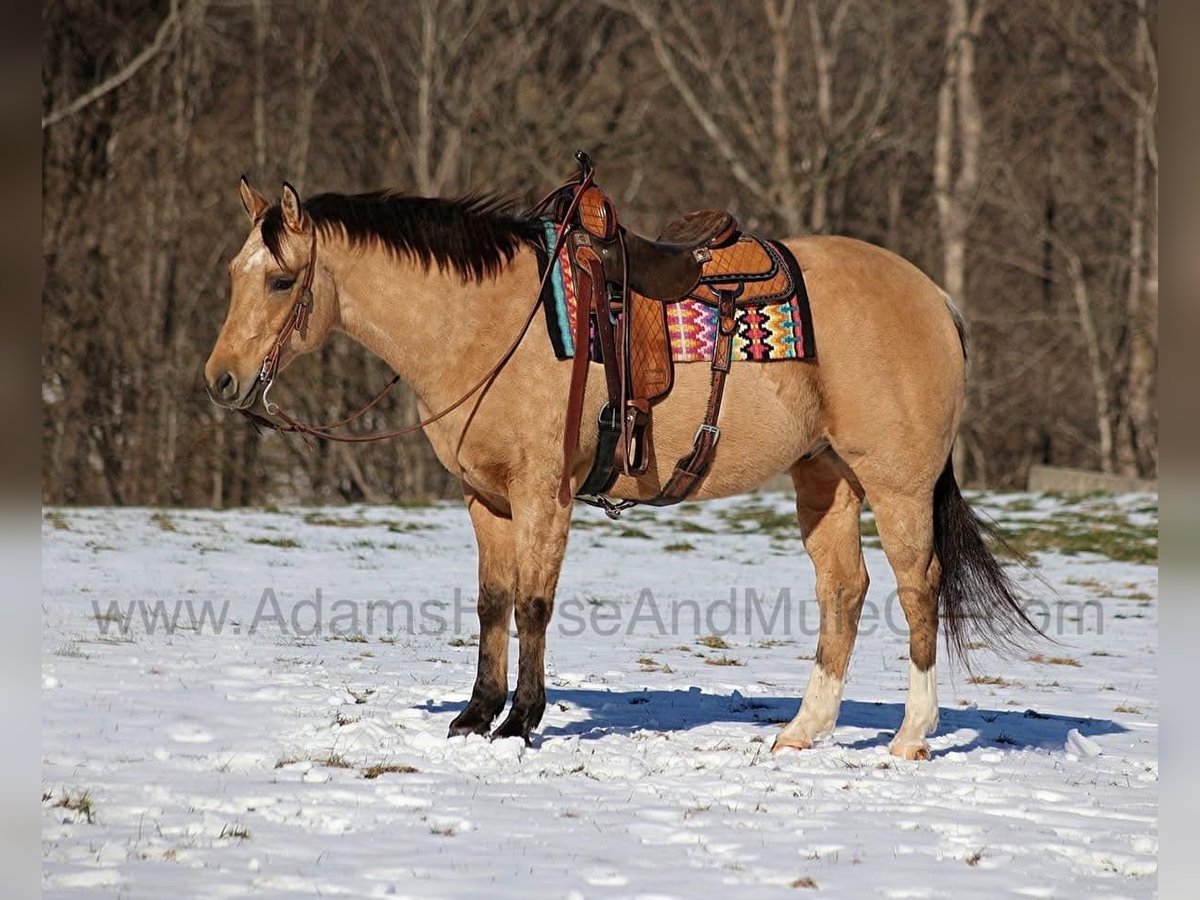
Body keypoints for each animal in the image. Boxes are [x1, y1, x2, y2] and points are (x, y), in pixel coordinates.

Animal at [204, 160, 1032, 763]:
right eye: (234, 276)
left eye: (282, 280)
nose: (222, 380)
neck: (490, 322)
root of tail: (933, 296)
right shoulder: (485, 499)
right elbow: (491, 604)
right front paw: (475, 715)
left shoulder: (545, 494)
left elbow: (532, 604)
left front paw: (521, 720)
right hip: (824, 476)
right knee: (845, 590)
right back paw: (803, 731)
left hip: (897, 484)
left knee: (918, 589)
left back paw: (910, 737)